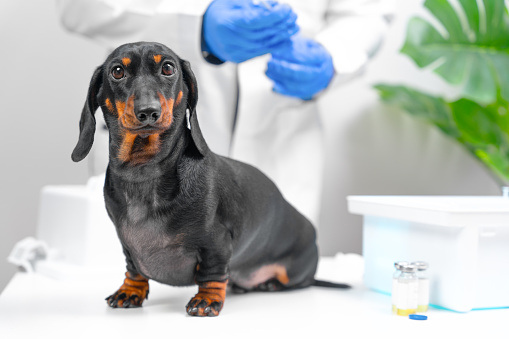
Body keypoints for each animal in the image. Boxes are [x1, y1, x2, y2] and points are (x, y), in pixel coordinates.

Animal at [71, 41, 348, 318]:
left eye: (168, 68)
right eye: (117, 71)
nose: (148, 112)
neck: (144, 169)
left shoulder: (217, 242)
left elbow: (212, 273)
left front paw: (207, 299)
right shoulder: (128, 246)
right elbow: (134, 269)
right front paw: (130, 291)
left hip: (295, 271)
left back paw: (269, 283)